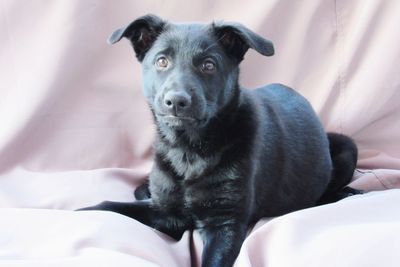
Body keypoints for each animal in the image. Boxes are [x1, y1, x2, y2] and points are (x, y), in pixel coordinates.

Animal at [79, 15, 360, 267]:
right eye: (162, 61)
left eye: (208, 65)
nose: (176, 101)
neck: (188, 151)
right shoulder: (166, 213)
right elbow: (105, 206)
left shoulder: (225, 225)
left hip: (348, 147)